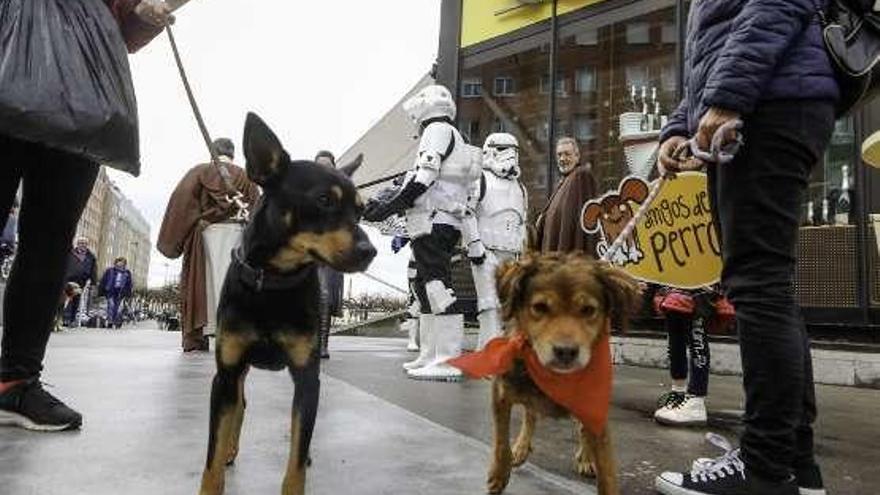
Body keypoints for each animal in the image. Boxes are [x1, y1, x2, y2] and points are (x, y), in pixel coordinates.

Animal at [198, 113, 376, 495]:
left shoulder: (308, 379)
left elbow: (297, 450)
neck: (274, 282)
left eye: (361, 210)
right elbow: (212, 456)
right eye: (323, 200)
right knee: (240, 405)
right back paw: (231, 448)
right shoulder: (226, 373)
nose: (370, 251)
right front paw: (216, 469)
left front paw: (299, 466)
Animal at [488, 254, 640, 495]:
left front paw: (591, 459)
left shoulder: (596, 408)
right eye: (539, 307)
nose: (566, 352)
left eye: (588, 310)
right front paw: (499, 475)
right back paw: (521, 448)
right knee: (530, 414)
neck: (554, 377)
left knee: (581, 428)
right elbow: (501, 442)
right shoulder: (501, 392)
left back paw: (586, 457)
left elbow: (606, 471)